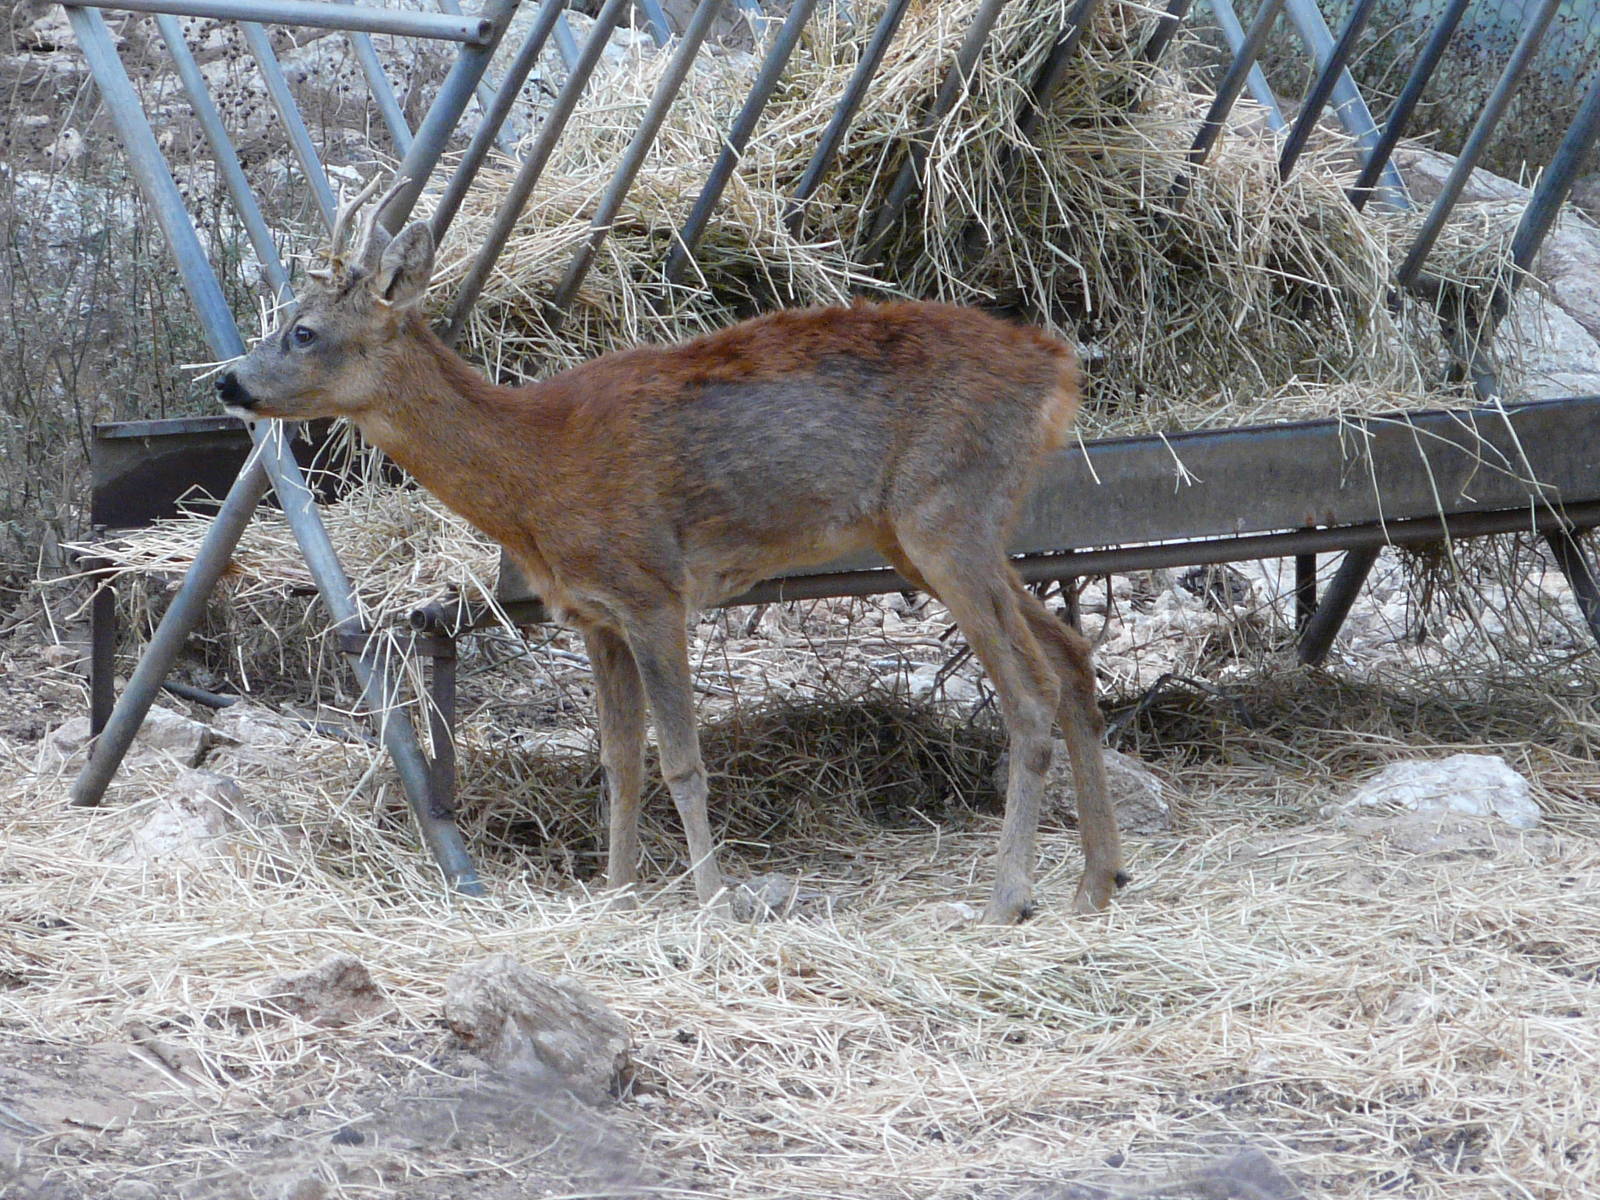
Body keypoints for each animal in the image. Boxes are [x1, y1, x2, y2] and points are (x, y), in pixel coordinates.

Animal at [216, 179, 1126, 923]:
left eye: (303, 331)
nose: (228, 382)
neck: (536, 466)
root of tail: (1056, 366)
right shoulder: (593, 614)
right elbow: (620, 761)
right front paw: (616, 895)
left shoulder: (652, 589)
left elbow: (682, 762)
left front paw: (713, 903)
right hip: (930, 533)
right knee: (1071, 653)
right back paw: (1096, 883)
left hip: (947, 510)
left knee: (1031, 692)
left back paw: (1008, 897)